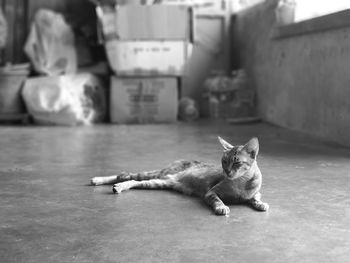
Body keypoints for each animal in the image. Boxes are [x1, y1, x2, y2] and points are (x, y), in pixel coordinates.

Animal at [89, 137, 268, 216]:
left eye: (236, 162)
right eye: (223, 162)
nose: (227, 172)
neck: (241, 183)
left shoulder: (254, 192)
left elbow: (255, 198)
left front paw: (261, 204)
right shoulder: (210, 192)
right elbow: (217, 200)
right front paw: (222, 207)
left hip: (158, 182)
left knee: (132, 180)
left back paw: (118, 187)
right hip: (157, 174)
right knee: (125, 175)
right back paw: (98, 180)